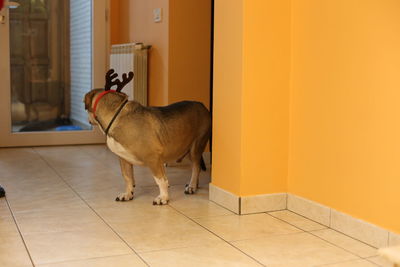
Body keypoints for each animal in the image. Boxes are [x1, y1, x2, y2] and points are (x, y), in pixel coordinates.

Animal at [83, 70, 211, 206]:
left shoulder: (153, 158)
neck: (116, 116)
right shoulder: (124, 159)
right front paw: (128, 194)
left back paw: (191, 186)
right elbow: (128, 178)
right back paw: (194, 185)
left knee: (196, 167)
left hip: (196, 146)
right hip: (185, 149)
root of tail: (202, 105)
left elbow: (161, 180)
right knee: (196, 167)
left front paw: (163, 198)